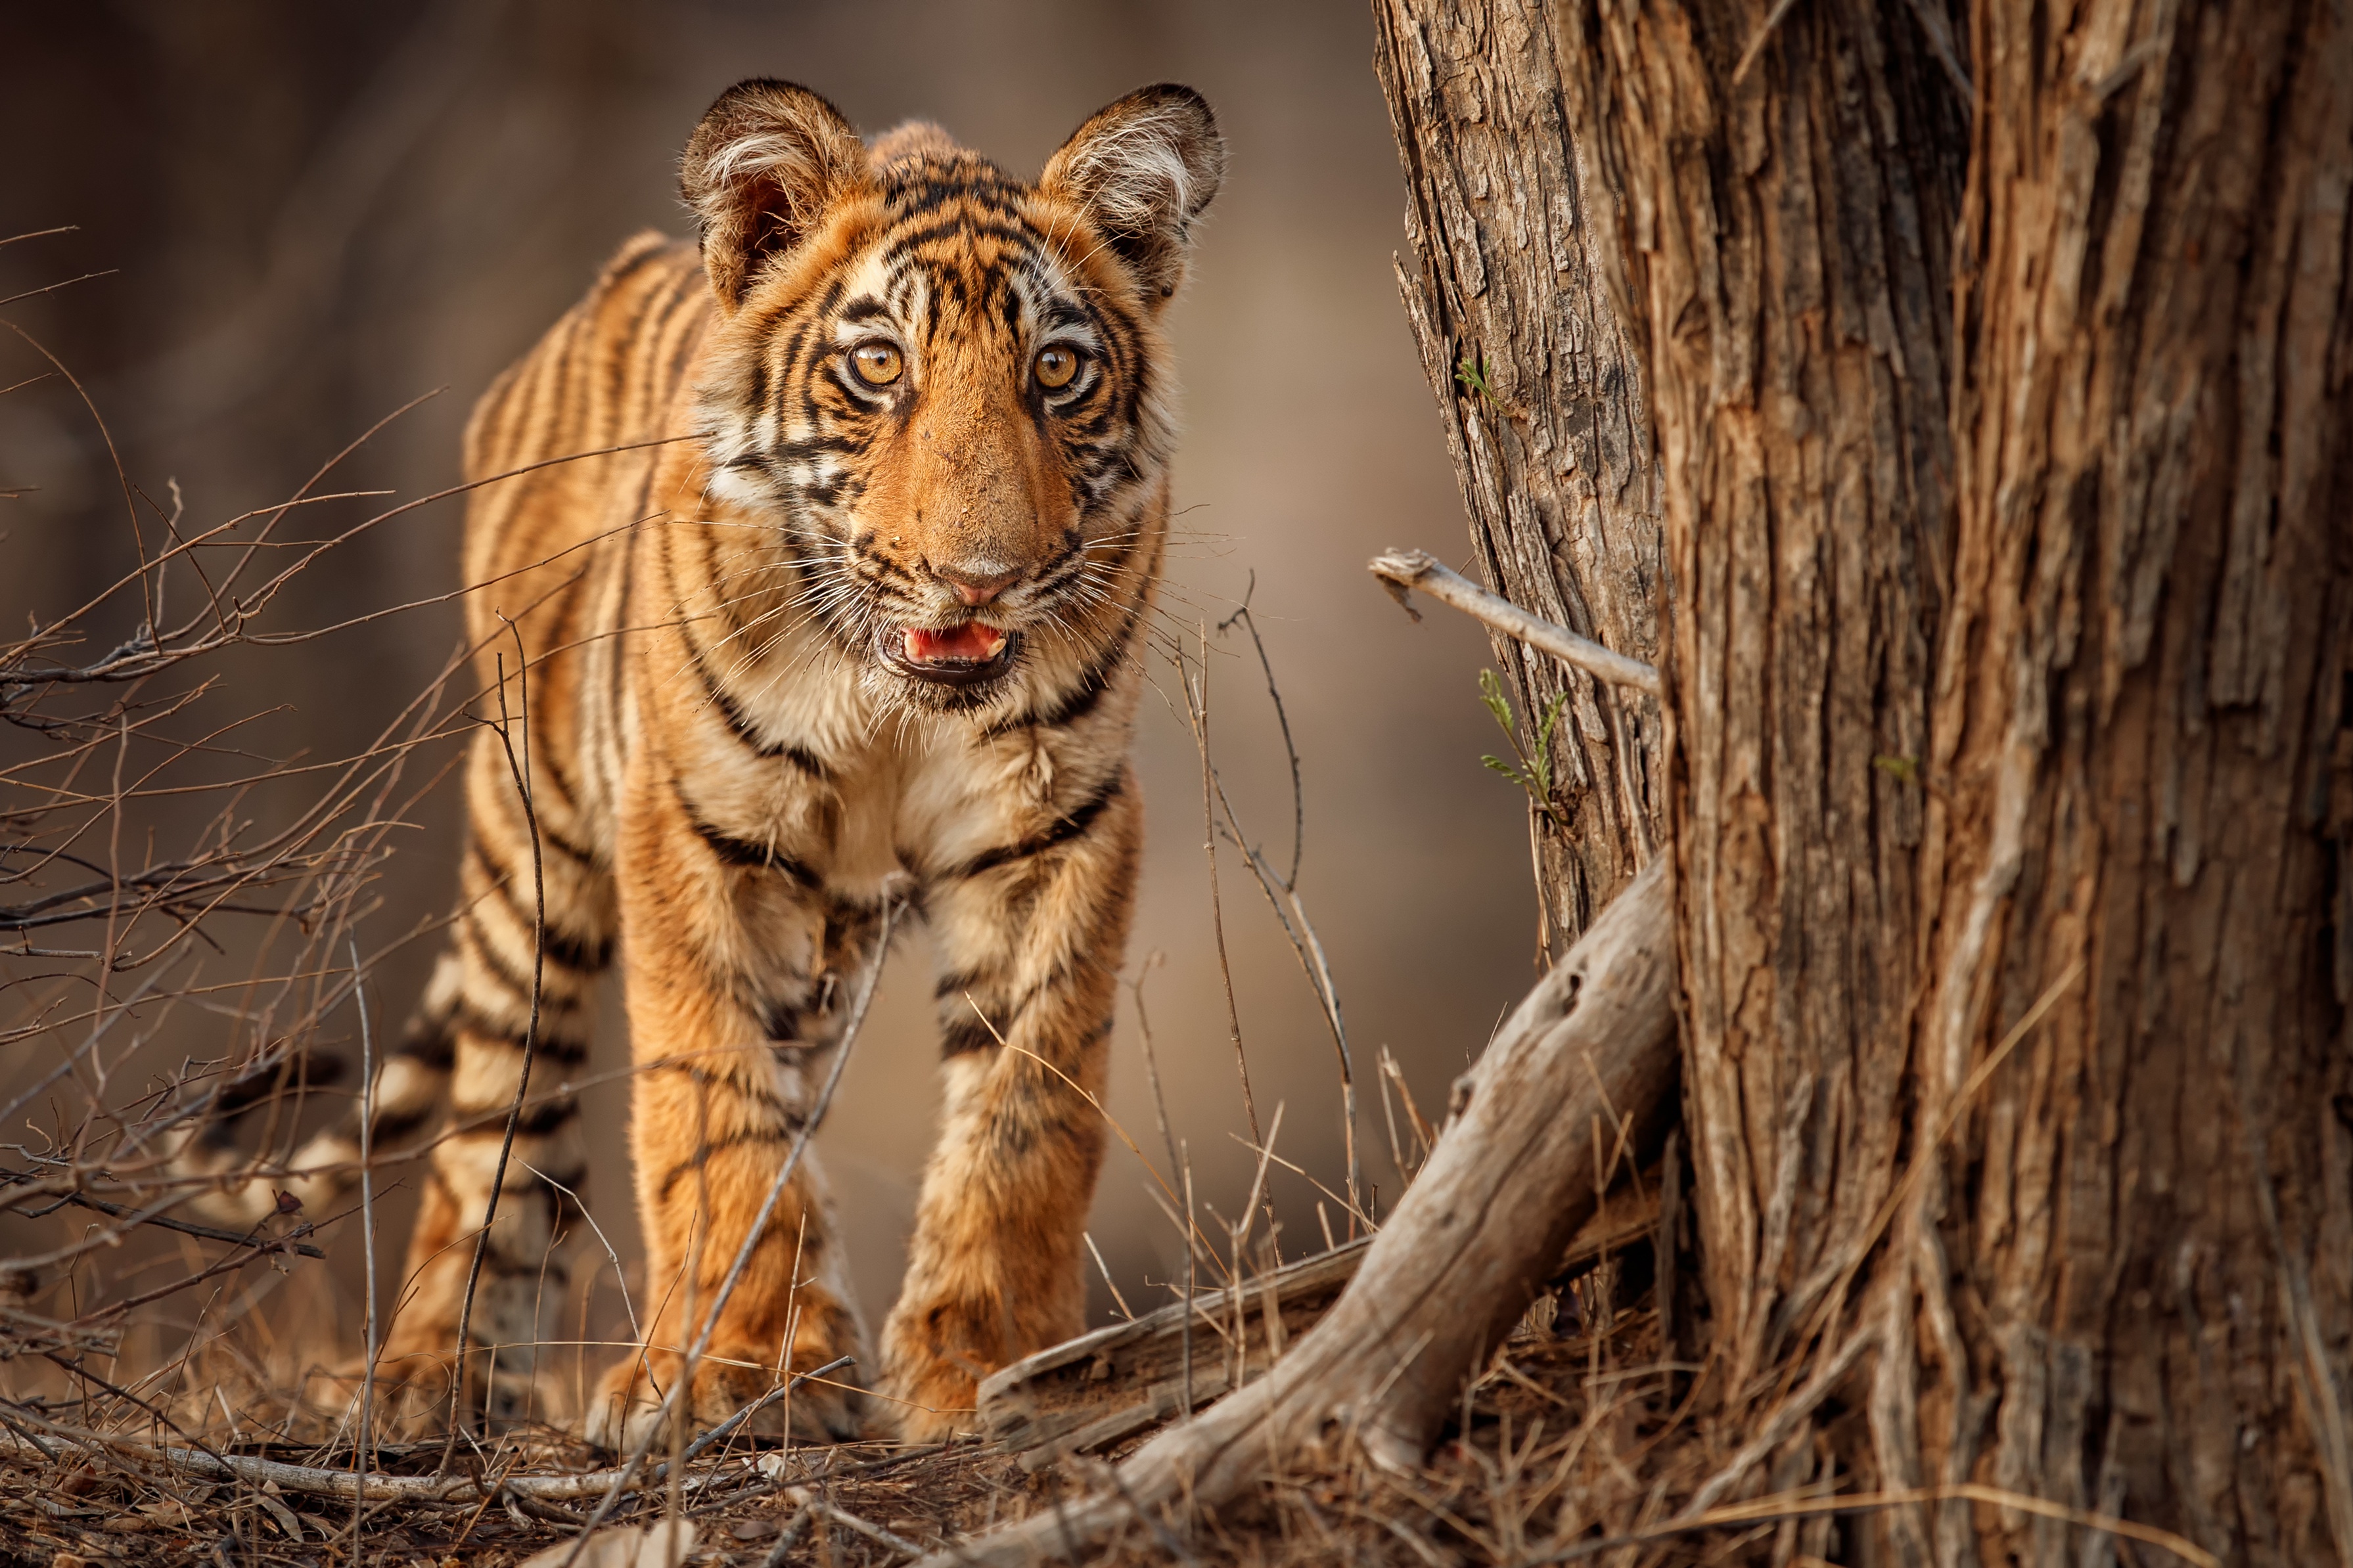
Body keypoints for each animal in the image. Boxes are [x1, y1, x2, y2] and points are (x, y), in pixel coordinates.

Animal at [173, 76, 1223, 1448]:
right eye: (878, 367)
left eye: (1056, 371)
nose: (980, 577)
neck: (891, 703)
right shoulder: (691, 829)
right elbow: (713, 1109)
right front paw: (739, 1371)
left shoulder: (1057, 833)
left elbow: (1025, 1114)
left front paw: (988, 1370)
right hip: (530, 848)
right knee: (499, 1129)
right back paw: (429, 1376)